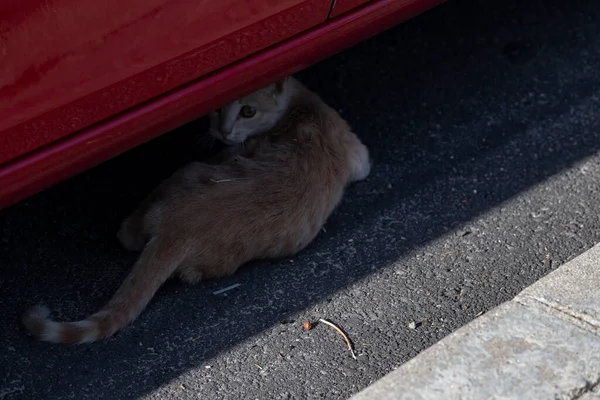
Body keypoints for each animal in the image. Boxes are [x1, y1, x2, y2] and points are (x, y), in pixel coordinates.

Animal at [22, 77, 370, 344]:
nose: (223, 132)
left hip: (185, 174)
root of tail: (177, 229)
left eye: (248, 110)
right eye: (216, 107)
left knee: (130, 234)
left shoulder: (358, 154)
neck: (302, 108)